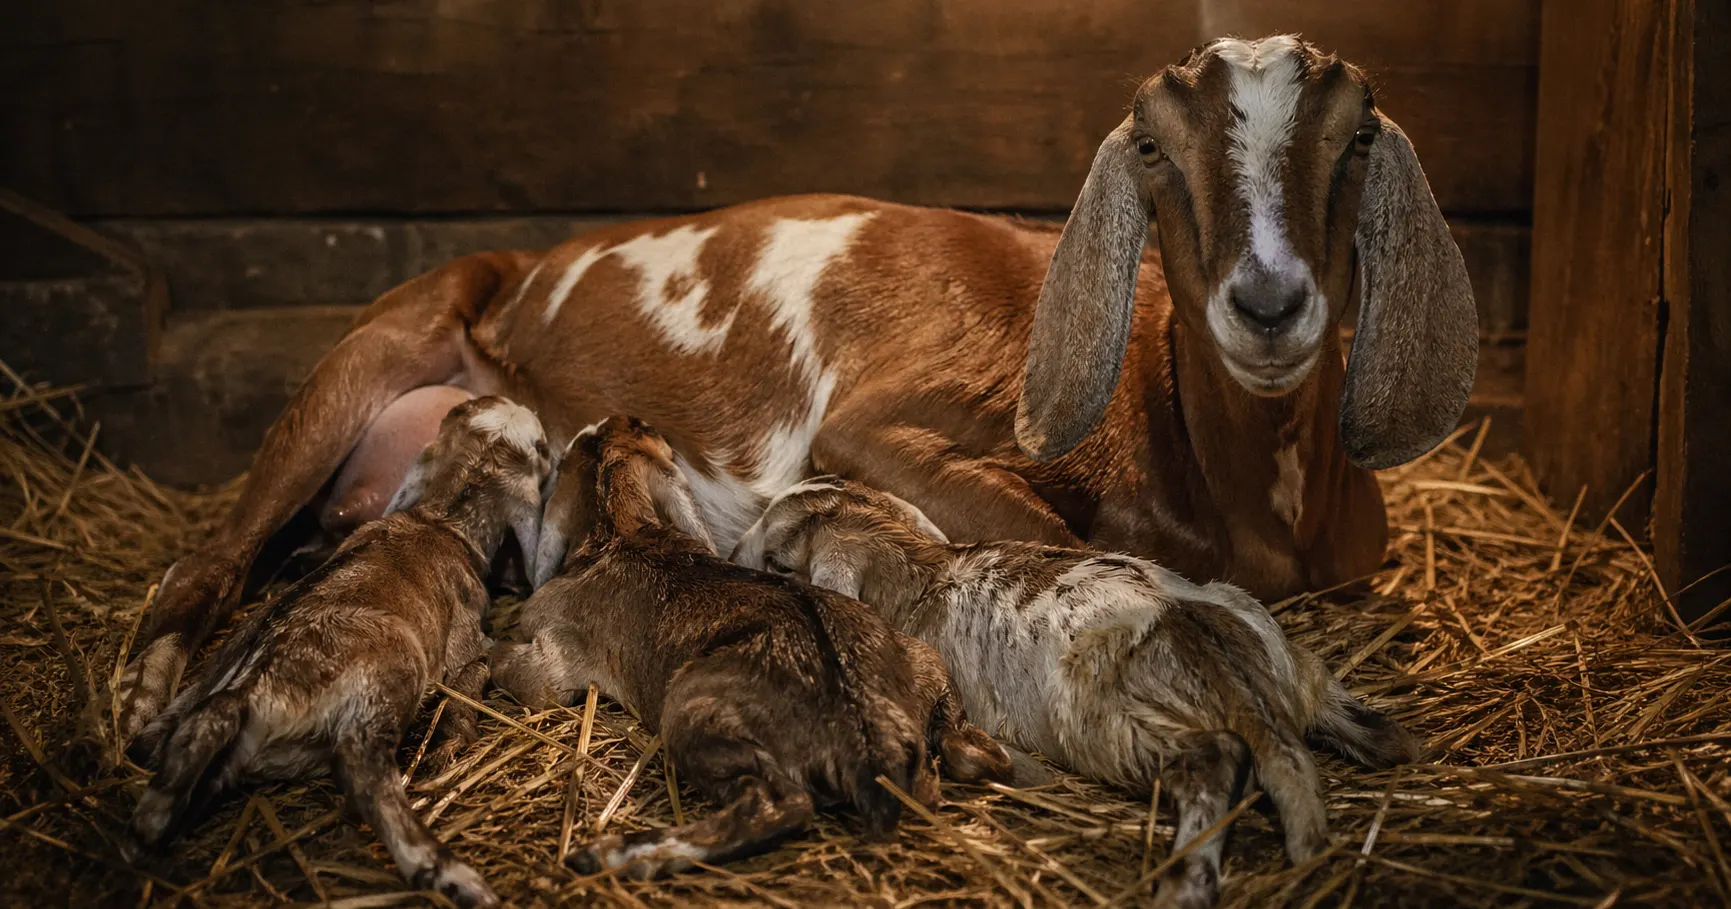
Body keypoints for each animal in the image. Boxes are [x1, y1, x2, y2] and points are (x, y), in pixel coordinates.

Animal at [115, 35, 1476, 747]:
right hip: (371, 348)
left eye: (1357, 141)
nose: (1270, 300)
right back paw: (147, 689)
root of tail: (513, 273)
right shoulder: (873, 424)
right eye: (1155, 150)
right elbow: (1050, 536)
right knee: (213, 555)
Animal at [127, 397, 554, 909]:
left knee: (173, 741)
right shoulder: (466, 643)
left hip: (224, 669)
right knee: (364, 775)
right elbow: (476, 669)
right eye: (542, 448)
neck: (442, 520)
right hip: (389, 676)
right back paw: (453, 875)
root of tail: (251, 691)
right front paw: (454, 739)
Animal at [489, 416, 1012, 878]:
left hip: (693, 709)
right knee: (957, 751)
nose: (632, 419)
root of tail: (870, 742)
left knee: (778, 805)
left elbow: (525, 678)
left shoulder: (555, 649)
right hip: (926, 661)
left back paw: (617, 855)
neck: (622, 530)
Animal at [734, 476, 1422, 908]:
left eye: (779, 563)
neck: (924, 570)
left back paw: (1185, 883)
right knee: (1362, 722)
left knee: (1216, 758)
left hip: (1108, 721)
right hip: (1280, 654)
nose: (734, 552)